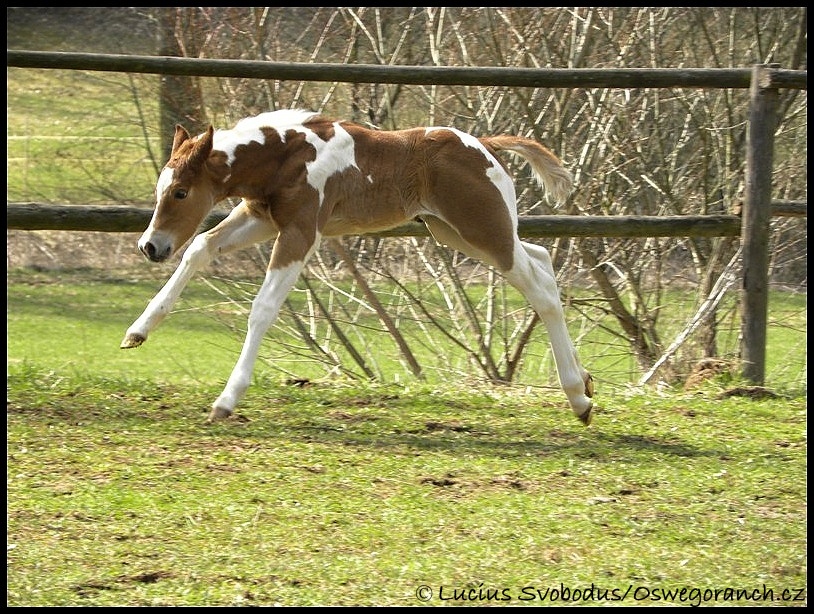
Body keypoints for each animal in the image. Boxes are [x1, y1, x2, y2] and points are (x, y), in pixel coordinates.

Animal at [119, 109, 592, 424]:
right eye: (161, 189)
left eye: (181, 192)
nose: (150, 246)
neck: (285, 155)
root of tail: (488, 148)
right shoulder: (261, 218)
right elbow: (201, 246)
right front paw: (138, 331)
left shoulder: (300, 233)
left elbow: (262, 308)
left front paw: (226, 400)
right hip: (457, 233)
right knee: (541, 260)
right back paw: (585, 383)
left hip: (484, 232)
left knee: (541, 290)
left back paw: (579, 398)